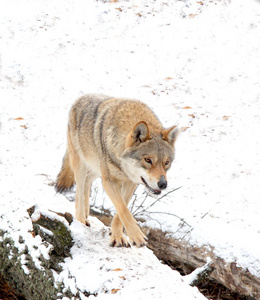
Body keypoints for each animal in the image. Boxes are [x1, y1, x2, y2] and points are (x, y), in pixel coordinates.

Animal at [55, 95, 180, 247]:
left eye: (166, 162)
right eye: (148, 160)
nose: (163, 184)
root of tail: (81, 98)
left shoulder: (131, 182)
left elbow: (121, 210)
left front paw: (117, 236)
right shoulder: (109, 181)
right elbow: (123, 209)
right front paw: (136, 236)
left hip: (95, 169)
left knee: (87, 185)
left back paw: (85, 215)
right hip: (81, 165)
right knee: (79, 190)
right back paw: (80, 219)